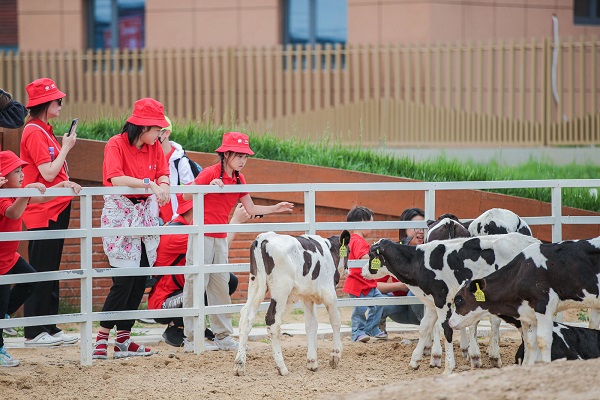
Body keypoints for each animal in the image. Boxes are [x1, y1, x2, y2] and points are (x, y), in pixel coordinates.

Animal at [233, 230, 352, 376]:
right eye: (349, 250)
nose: (347, 270)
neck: (329, 250)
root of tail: (264, 238)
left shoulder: (307, 297)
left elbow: (311, 325)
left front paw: (312, 361)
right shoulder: (330, 296)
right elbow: (336, 322)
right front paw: (335, 356)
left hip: (255, 284)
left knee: (246, 317)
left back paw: (239, 365)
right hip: (280, 291)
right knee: (272, 320)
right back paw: (282, 367)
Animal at [364, 233, 540, 374]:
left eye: (371, 254)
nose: (364, 271)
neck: (420, 263)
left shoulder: (442, 300)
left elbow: (446, 330)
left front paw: (449, 367)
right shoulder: (431, 303)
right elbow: (424, 328)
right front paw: (415, 361)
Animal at [448, 238, 600, 366]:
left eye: (459, 299)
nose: (450, 322)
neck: (523, 271)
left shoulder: (544, 307)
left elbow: (543, 340)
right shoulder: (530, 314)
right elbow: (530, 342)